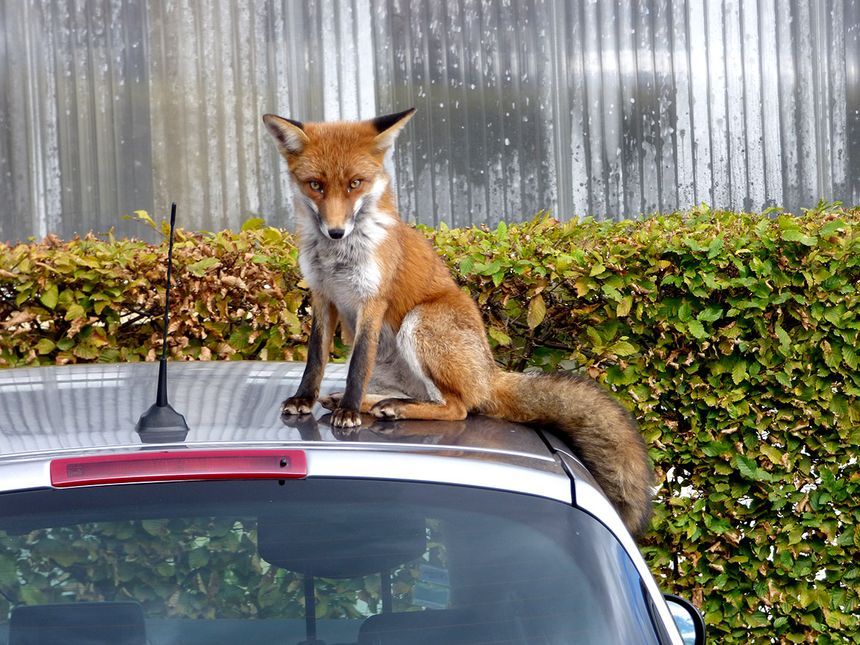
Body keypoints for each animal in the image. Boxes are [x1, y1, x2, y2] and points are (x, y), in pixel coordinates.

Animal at [262, 108, 652, 536]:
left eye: (355, 184)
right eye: (315, 185)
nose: (335, 230)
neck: (337, 257)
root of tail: (491, 372)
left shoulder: (372, 300)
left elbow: (357, 365)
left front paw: (347, 410)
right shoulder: (323, 296)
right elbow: (315, 358)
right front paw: (306, 399)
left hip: (420, 322)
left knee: (458, 407)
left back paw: (384, 408)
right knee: (422, 397)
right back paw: (374, 404)